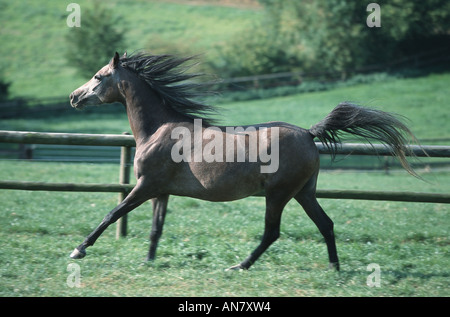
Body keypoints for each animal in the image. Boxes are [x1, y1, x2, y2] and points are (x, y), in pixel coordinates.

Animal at [67, 51, 418, 270]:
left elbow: (112, 214)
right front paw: (148, 261)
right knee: (325, 224)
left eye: (98, 76)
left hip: (278, 194)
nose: (74, 96)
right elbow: (156, 228)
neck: (158, 130)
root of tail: (308, 133)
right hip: (304, 193)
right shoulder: (160, 191)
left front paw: (78, 250)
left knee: (272, 232)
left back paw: (239, 265)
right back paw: (334, 268)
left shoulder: (146, 185)